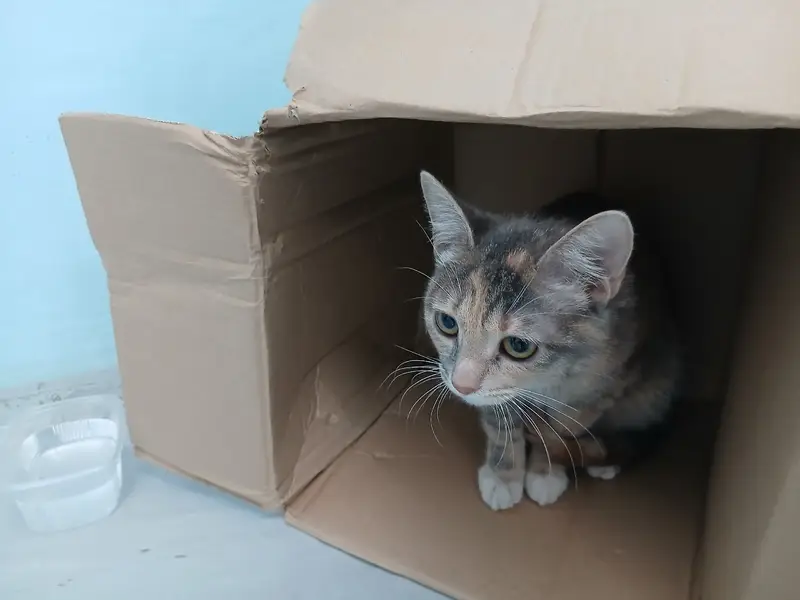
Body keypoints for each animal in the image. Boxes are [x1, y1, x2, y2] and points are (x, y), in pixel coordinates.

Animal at [416, 170, 681, 510]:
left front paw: (545, 470)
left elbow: (561, 427)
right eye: (447, 323)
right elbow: (499, 418)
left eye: (519, 346)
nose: (462, 385)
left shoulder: (603, 382)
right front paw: (504, 474)